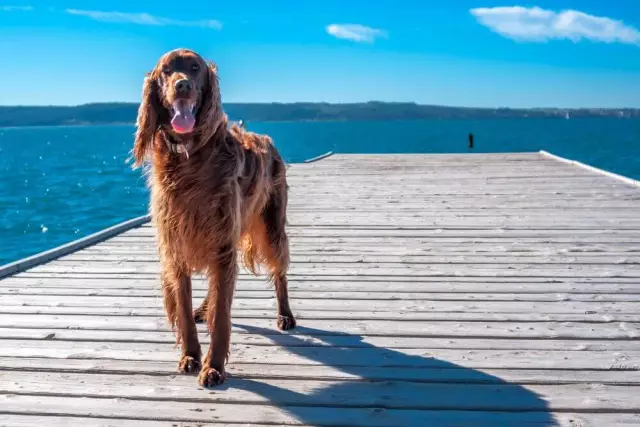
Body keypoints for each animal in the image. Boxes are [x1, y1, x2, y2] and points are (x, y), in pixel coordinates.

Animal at [132, 47, 298, 388]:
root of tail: (267, 139)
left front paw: (214, 367)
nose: (182, 85)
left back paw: (285, 315)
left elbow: (222, 314)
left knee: (280, 273)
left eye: (195, 68)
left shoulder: (222, 243)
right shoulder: (177, 245)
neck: (188, 157)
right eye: (166, 70)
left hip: (272, 227)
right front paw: (190, 356)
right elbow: (184, 310)